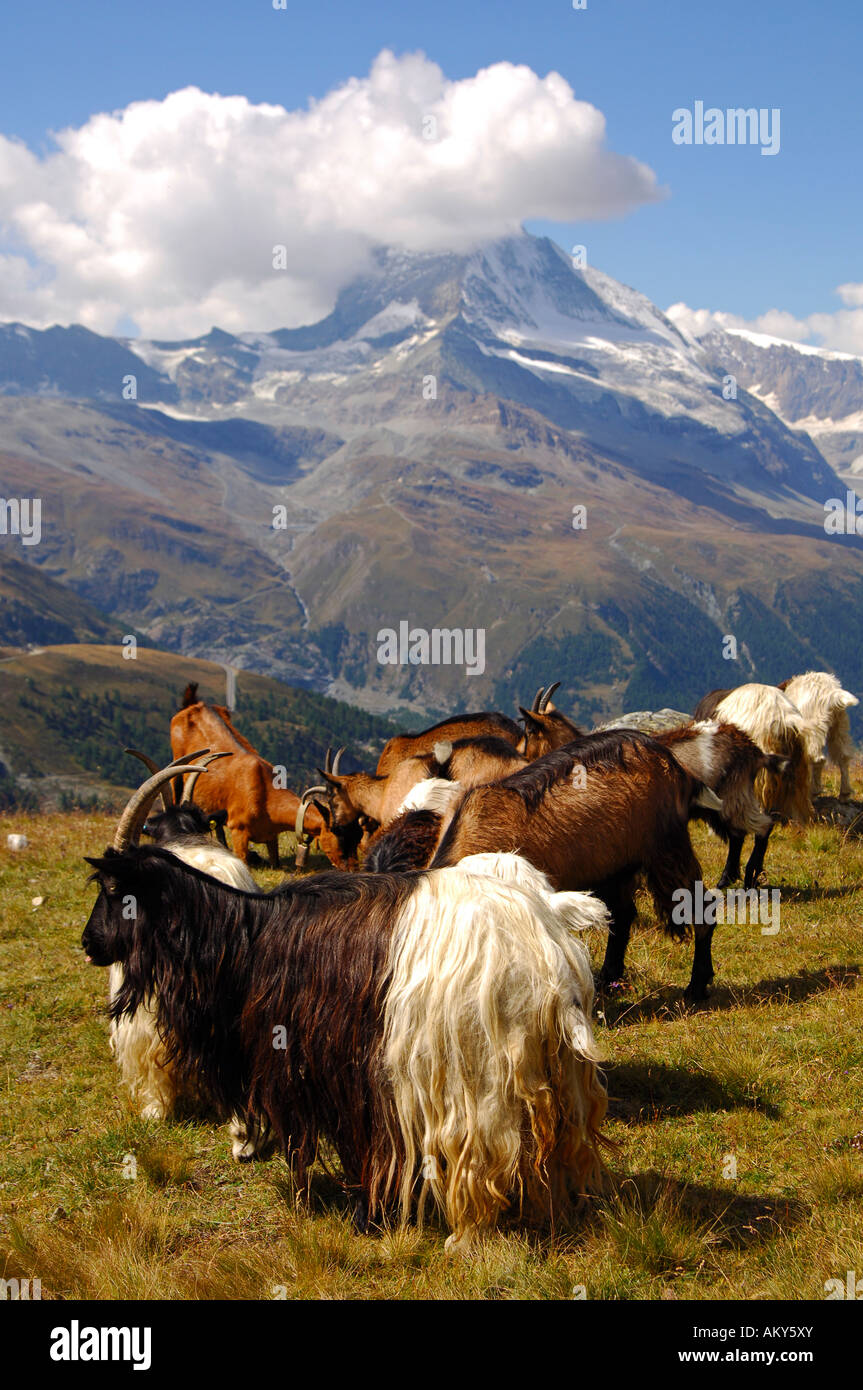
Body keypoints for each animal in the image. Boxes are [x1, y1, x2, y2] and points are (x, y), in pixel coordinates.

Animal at [80, 845, 605, 1251]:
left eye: (114, 891)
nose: (88, 943)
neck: (248, 940)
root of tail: (548, 960)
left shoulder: (317, 1064)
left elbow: (329, 1143)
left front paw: (349, 1211)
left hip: (473, 1078)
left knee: (478, 1160)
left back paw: (466, 1237)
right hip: (557, 1075)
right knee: (557, 1150)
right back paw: (552, 1212)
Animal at [428, 728, 717, 1000]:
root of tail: (676, 765)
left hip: (666, 848)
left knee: (701, 906)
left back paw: (696, 987)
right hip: (611, 865)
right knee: (623, 914)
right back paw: (609, 979)